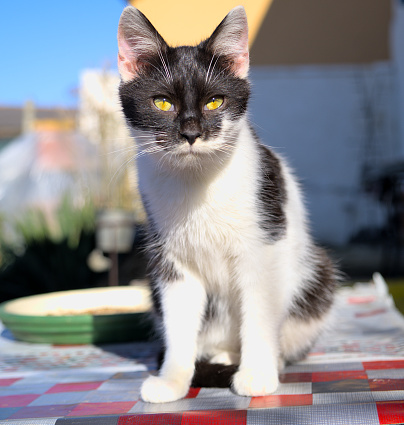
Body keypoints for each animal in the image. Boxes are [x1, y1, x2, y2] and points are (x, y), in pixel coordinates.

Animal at [117, 7, 338, 404]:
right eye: (162, 102)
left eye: (215, 102)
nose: (191, 133)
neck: (197, 183)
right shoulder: (171, 260)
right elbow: (179, 319)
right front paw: (173, 379)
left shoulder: (264, 244)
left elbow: (260, 310)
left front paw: (257, 373)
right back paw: (219, 356)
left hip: (317, 276)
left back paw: (263, 360)